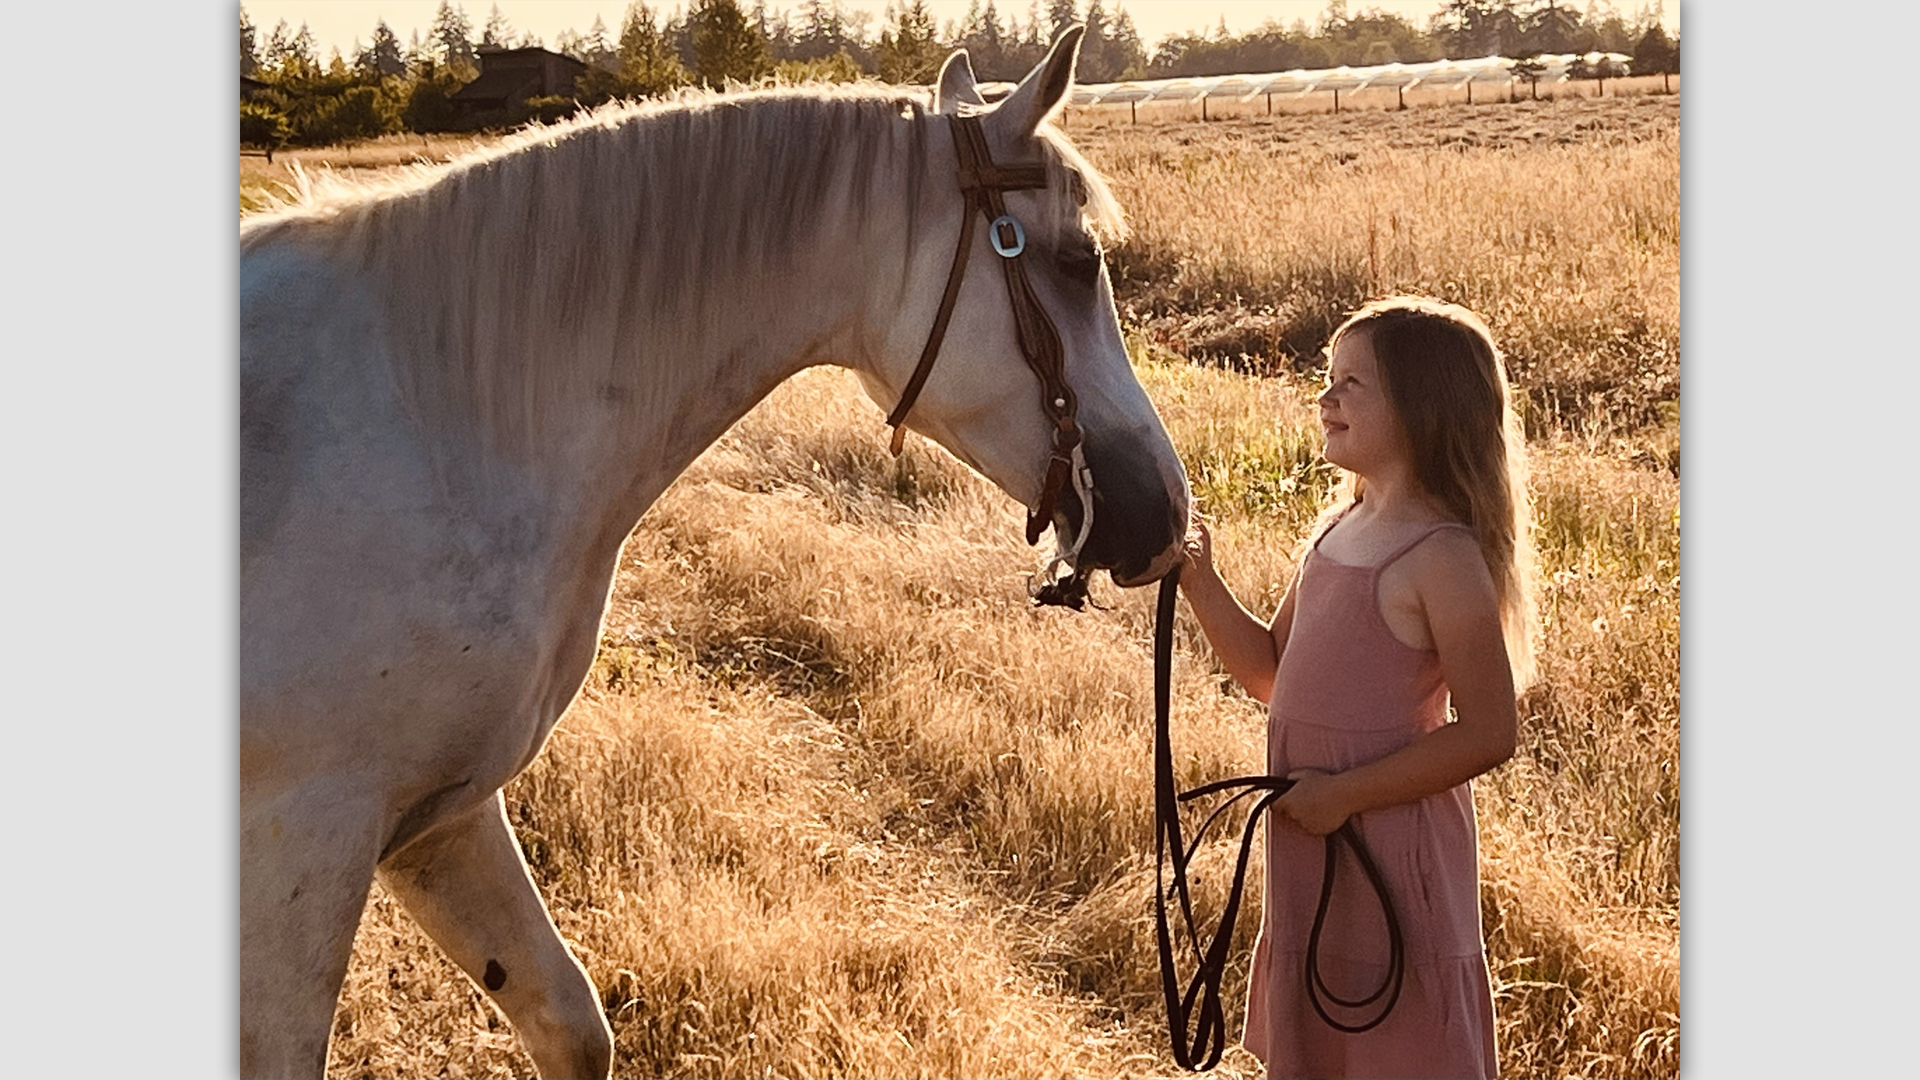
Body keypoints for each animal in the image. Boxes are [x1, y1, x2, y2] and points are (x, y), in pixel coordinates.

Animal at [240, 27, 1188, 1078]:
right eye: (1077, 258)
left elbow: (571, 1023)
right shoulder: (306, 844)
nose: (1164, 513)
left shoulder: (436, 820)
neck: (434, 422)